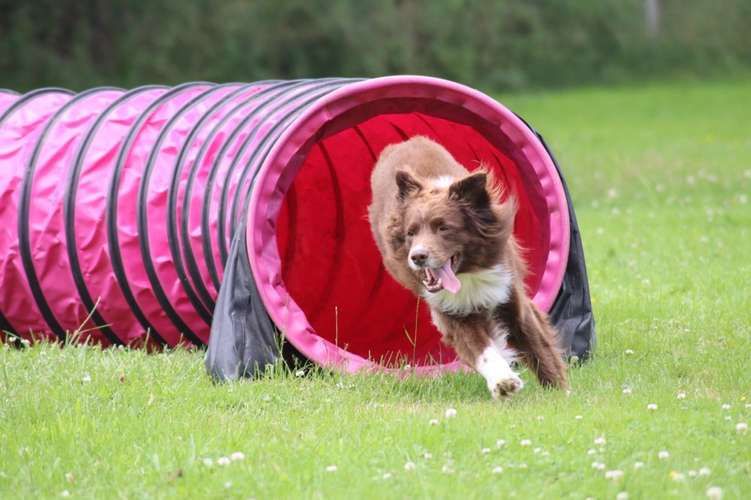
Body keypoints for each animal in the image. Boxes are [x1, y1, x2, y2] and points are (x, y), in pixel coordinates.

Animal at [368, 137, 568, 398]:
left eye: (444, 228)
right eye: (411, 232)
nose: (418, 257)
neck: (468, 273)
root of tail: (405, 142)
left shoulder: (509, 293)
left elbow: (538, 346)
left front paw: (560, 393)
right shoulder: (452, 312)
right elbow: (481, 348)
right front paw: (503, 381)